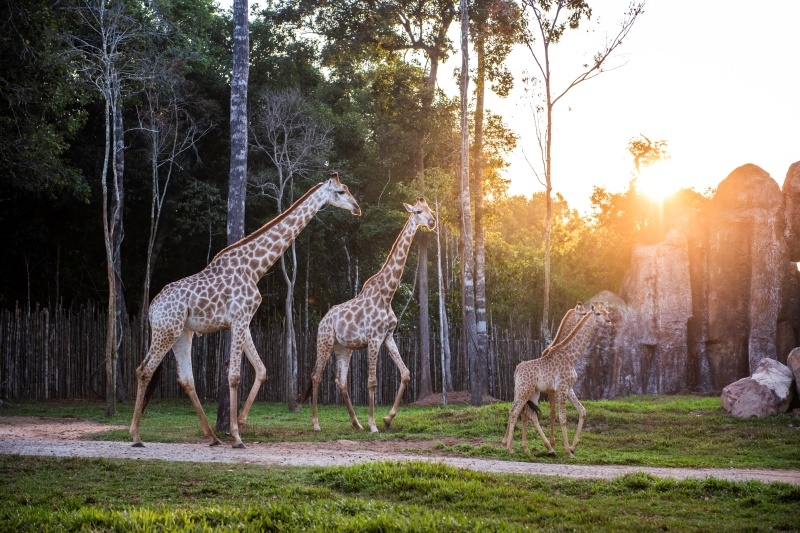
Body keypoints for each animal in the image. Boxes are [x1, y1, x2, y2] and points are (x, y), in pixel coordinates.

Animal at [130, 172, 360, 446]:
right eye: (340, 192)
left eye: (347, 189)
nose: (357, 207)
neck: (254, 268)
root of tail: (152, 308)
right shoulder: (239, 319)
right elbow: (234, 376)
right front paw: (237, 436)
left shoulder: (243, 321)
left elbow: (261, 369)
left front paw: (238, 423)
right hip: (166, 331)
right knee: (143, 370)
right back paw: (135, 435)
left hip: (182, 334)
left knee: (186, 379)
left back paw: (212, 437)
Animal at [300, 195, 438, 432]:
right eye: (418, 211)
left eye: (430, 209)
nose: (431, 222)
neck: (387, 293)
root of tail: (323, 320)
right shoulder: (374, 338)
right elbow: (372, 382)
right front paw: (374, 425)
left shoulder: (387, 337)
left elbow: (406, 373)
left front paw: (387, 419)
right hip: (324, 342)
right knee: (316, 376)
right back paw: (316, 424)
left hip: (343, 349)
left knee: (340, 380)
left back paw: (356, 423)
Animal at [504, 302, 608, 456]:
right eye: (598, 314)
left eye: (607, 312)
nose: (609, 321)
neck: (571, 357)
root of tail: (516, 371)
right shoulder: (560, 388)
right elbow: (561, 417)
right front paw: (568, 451)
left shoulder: (569, 388)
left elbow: (582, 411)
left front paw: (572, 446)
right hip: (524, 390)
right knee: (514, 412)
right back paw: (510, 448)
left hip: (531, 392)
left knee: (528, 414)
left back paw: (544, 448)